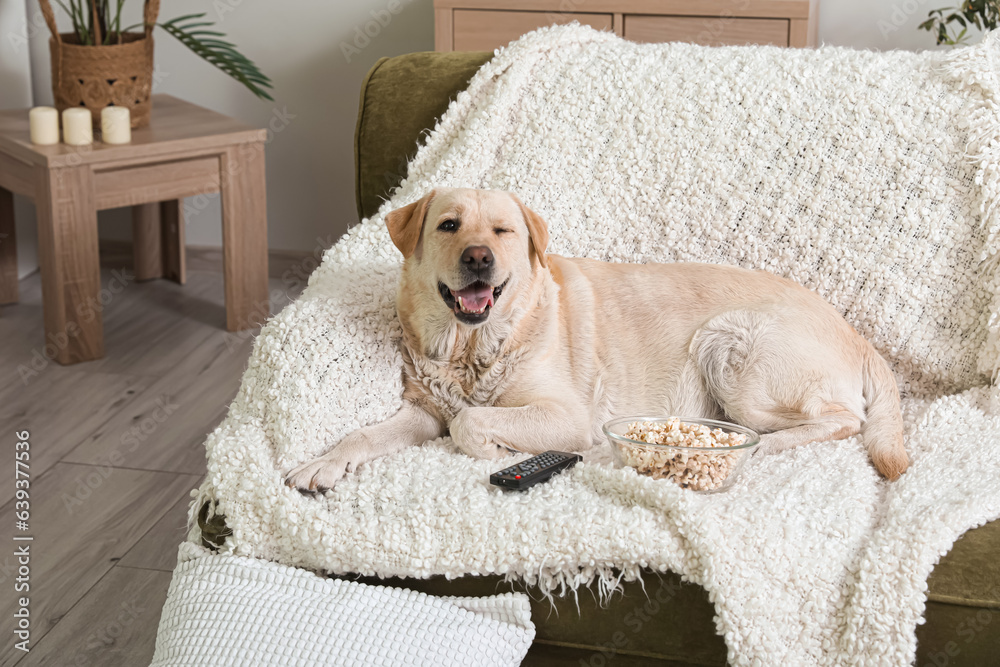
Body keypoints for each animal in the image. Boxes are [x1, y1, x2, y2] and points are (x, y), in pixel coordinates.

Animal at [286, 190, 912, 494]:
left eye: (502, 231)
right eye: (448, 226)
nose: (479, 258)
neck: (471, 349)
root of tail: (858, 336)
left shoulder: (564, 415)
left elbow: (471, 422)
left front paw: (497, 450)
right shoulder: (422, 413)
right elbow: (367, 433)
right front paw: (323, 463)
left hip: (733, 348)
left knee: (844, 419)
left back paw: (765, 445)